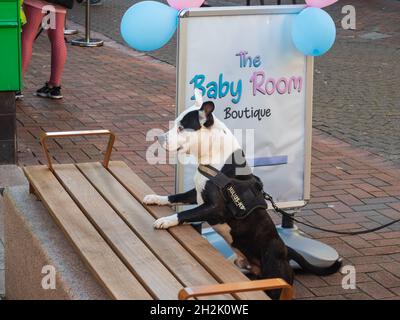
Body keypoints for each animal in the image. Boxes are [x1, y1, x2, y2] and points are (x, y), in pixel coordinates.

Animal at [144, 89, 294, 298]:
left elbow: (185, 213)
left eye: (181, 128)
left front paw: (166, 220)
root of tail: (286, 255)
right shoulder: (196, 193)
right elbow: (175, 197)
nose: (159, 138)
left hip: (274, 274)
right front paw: (155, 198)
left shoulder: (215, 208)